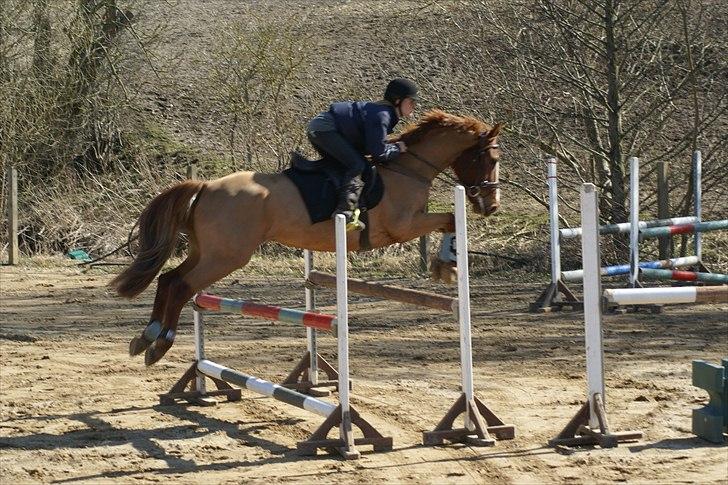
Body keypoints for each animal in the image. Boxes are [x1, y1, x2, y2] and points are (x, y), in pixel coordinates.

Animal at [112, 108, 500, 364]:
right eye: (490, 159)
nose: (491, 206)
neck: (408, 168)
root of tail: (206, 185)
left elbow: (449, 221)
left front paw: (445, 265)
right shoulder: (403, 226)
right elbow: (449, 218)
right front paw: (446, 265)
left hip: (208, 251)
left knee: (168, 279)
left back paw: (145, 338)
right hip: (226, 256)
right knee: (180, 285)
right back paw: (159, 344)